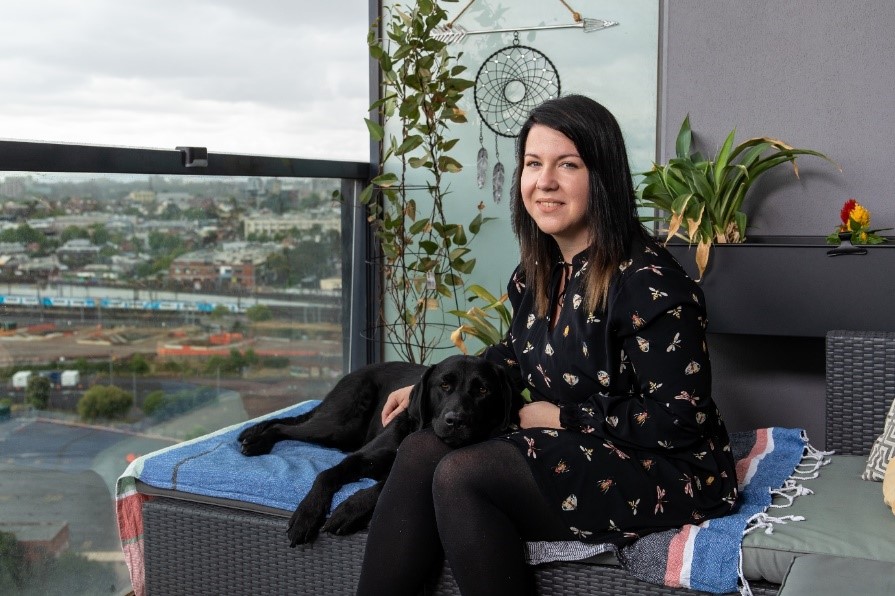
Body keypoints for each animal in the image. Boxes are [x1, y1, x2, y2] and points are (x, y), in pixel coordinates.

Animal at [238, 354, 520, 544]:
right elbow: (326, 475)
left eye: (482, 390)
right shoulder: (361, 458)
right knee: (284, 426)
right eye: (444, 385)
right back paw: (255, 440)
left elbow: (383, 486)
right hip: (338, 426)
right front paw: (306, 515)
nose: (456, 420)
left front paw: (349, 510)